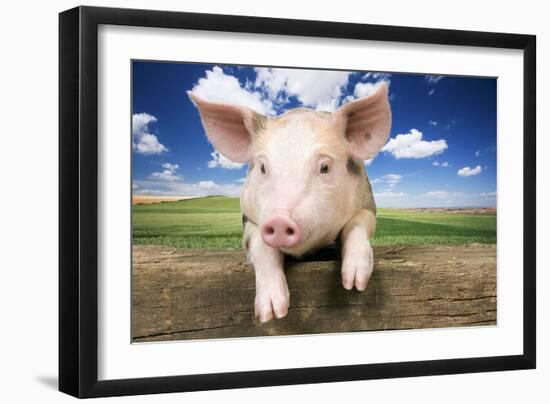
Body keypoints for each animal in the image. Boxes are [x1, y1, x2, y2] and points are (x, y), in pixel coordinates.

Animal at [190, 83, 392, 324]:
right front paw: (271, 314)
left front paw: (354, 284)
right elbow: (260, 245)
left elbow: (359, 221)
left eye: (325, 167)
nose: (279, 219)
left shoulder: (368, 202)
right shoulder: (247, 219)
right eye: (262, 168)